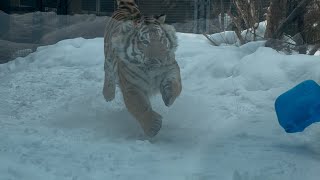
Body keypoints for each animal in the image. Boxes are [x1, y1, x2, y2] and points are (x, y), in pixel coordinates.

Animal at [103, 0, 181, 137]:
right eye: (145, 42)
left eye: (161, 38)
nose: (161, 59)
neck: (150, 69)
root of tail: (126, 8)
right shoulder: (131, 86)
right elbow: (139, 106)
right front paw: (153, 126)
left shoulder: (171, 67)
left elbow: (175, 84)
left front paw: (169, 96)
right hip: (108, 58)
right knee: (108, 73)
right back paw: (108, 94)